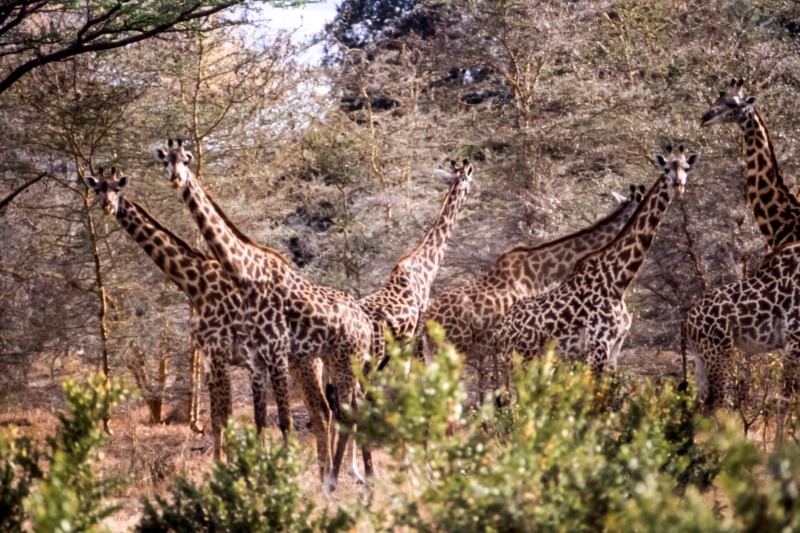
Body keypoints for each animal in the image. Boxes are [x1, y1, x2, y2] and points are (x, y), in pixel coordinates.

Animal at [83, 167, 251, 460]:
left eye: (117, 188)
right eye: (97, 189)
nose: (107, 206)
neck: (196, 285)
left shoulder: (219, 355)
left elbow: (224, 416)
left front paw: (228, 464)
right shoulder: (208, 358)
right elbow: (217, 417)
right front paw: (221, 462)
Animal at [156, 139, 371, 492]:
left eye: (186, 159)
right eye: (165, 161)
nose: (176, 178)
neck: (246, 272)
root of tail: (365, 321)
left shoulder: (275, 351)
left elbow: (282, 421)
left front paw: (283, 479)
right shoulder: (257, 357)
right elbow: (258, 421)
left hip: (345, 360)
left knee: (344, 412)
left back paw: (338, 480)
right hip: (334, 360)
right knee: (342, 411)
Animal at [496, 146, 698, 387]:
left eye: (686, 168)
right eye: (666, 168)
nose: (679, 184)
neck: (619, 281)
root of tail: (502, 328)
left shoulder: (616, 346)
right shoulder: (598, 345)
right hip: (521, 358)